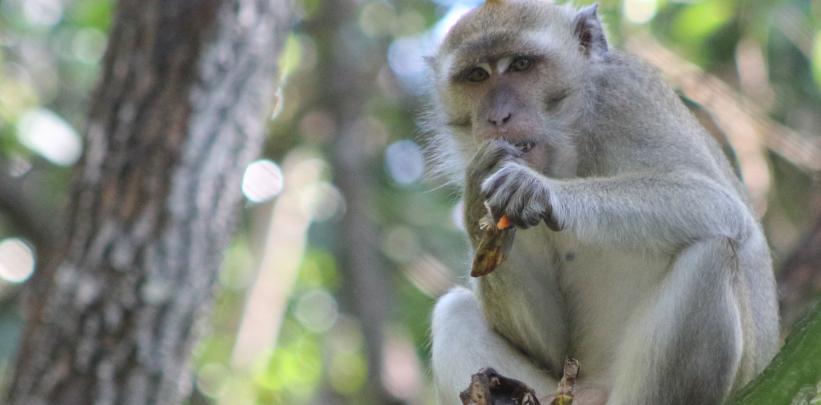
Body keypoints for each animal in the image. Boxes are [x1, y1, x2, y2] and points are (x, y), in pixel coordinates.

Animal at [426, 1, 780, 402]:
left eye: (521, 65)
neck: (574, 142)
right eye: (476, 75)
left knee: (714, 254)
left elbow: (722, 207)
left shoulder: (625, 98)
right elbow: (552, 346)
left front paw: (541, 190)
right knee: (453, 312)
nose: (497, 116)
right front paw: (474, 199)